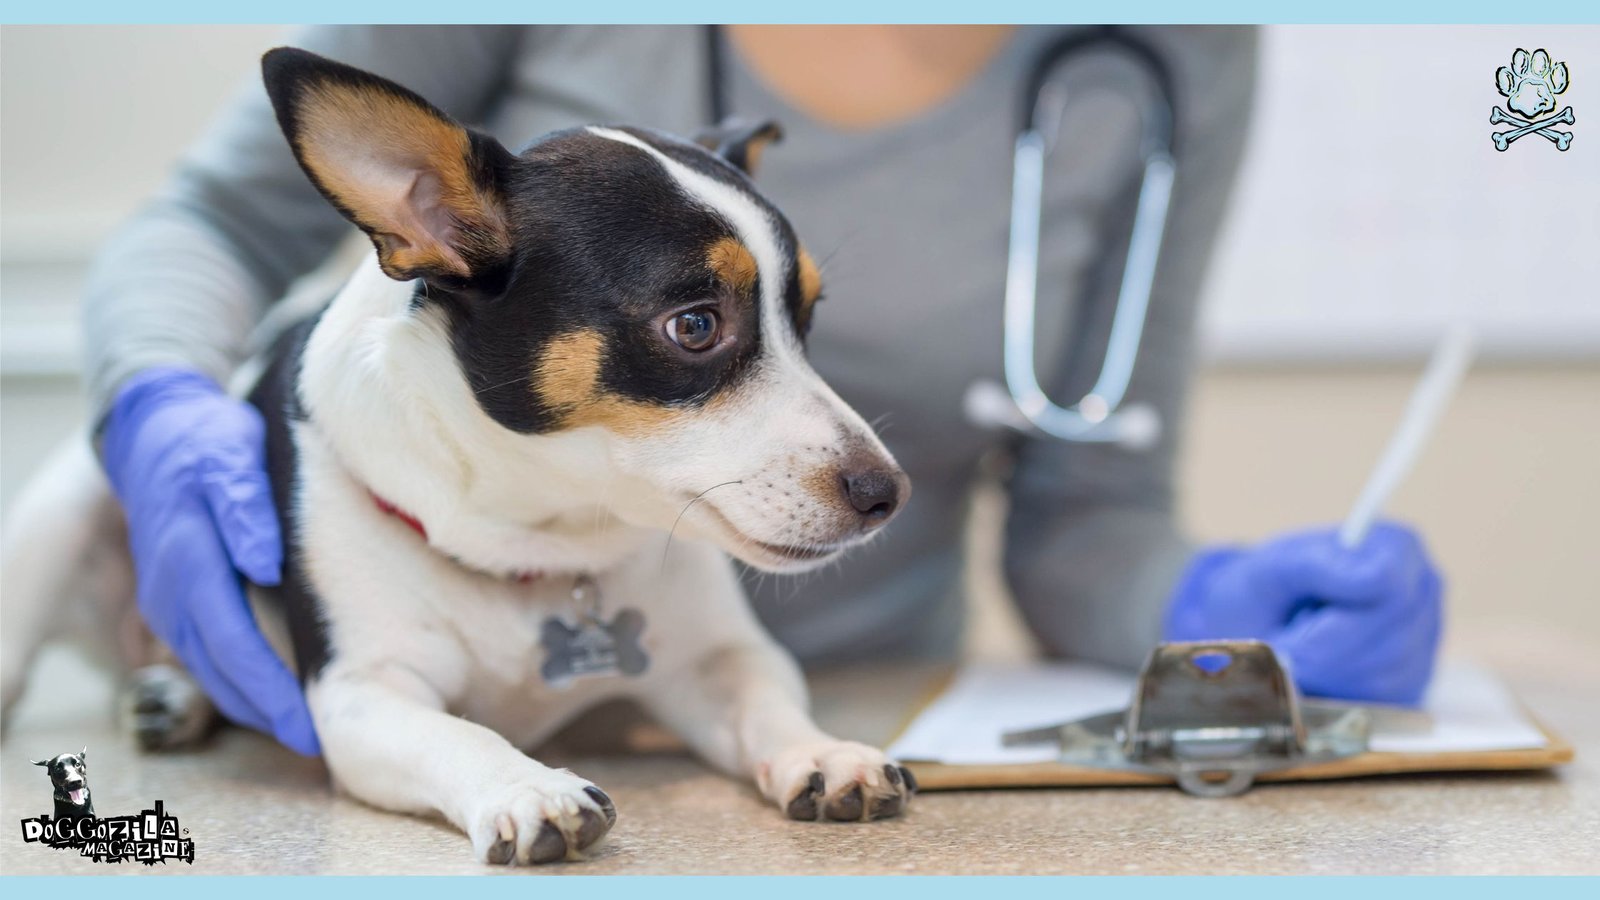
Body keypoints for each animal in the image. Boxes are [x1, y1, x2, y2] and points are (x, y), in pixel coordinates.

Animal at [0, 49, 921, 864]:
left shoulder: (715, 661)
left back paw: (176, 694)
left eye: (807, 318)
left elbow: (766, 702)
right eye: (695, 325)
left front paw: (821, 749)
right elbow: (459, 733)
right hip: (66, 509)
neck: (539, 539)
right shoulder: (363, 697)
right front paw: (527, 786)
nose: (887, 493)